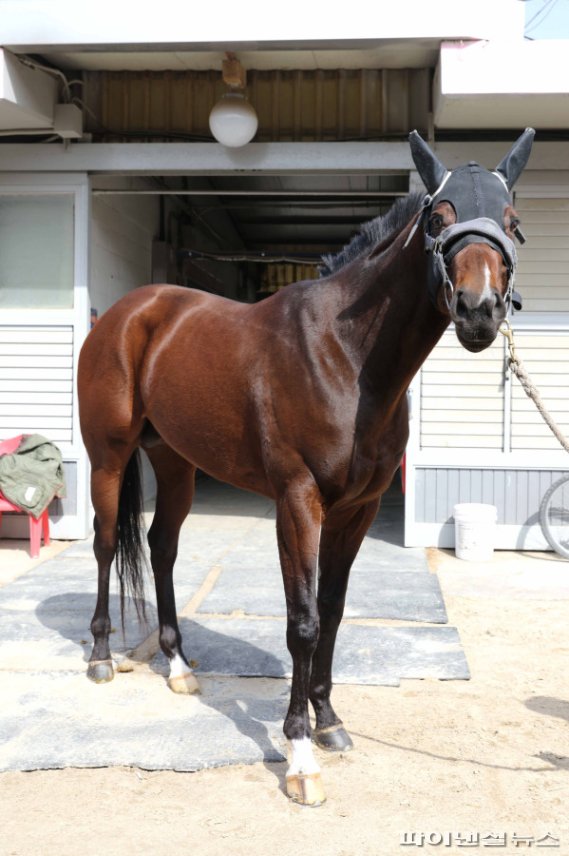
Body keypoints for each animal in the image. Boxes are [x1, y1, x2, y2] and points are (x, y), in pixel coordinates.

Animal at [79, 130, 532, 804]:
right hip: (107, 459)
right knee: (108, 543)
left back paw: (180, 667)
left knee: (161, 548)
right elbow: (304, 622)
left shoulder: (356, 511)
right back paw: (101, 657)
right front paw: (299, 756)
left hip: (176, 463)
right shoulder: (297, 502)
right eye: (437, 218)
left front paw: (329, 722)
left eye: (511, 222)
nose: (479, 310)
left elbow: (335, 612)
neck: (345, 355)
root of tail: (130, 310)